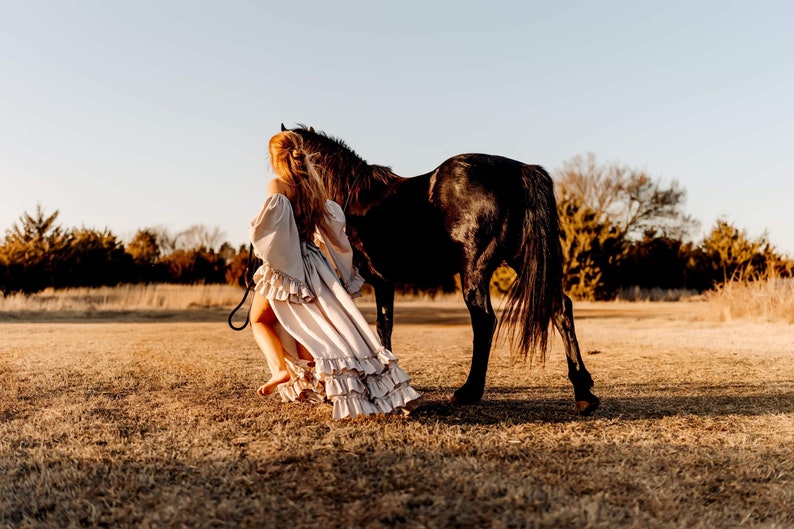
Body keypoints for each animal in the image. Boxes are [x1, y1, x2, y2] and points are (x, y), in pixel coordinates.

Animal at [286, 125, 600, 416]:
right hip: (523, 261)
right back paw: (583, 391)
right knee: (560, 307)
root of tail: (520, 171)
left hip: (475, 270)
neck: (357, 199)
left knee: (484, 320)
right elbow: (383, 326)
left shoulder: (367, 282)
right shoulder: (385, 283)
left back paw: (469, 391)